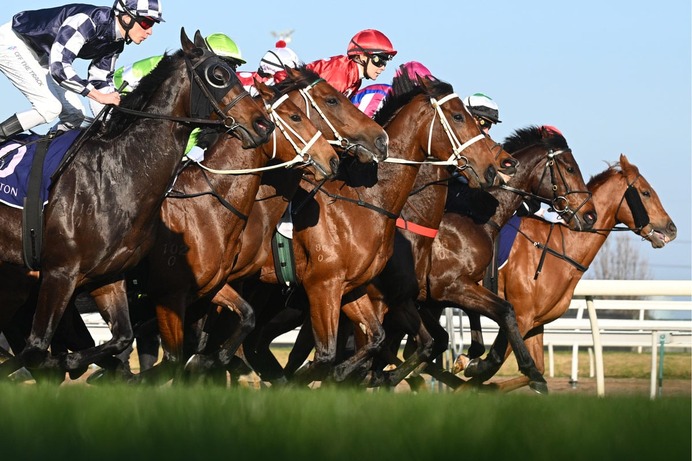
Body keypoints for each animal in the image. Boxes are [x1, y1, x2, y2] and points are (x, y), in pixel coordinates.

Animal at [0, 29, 273, 377]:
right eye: (219, 75)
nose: (263, 125)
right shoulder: (62, 274)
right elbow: (36, 349)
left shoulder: (109, 278)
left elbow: (124, 337)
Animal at [241, 72, 519, 386]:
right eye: (459, 116)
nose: (496, 167)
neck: (367, 202)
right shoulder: (329, 286)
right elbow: (338, 353)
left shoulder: (372, 292)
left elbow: (396, 342)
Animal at [452, 154, 677, 392]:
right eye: (646, 192)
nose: (672, 228)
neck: (559, 249)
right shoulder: (520, 316)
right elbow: (491, 366)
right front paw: (467, 369)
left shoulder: (535, 322)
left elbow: (537, 369)